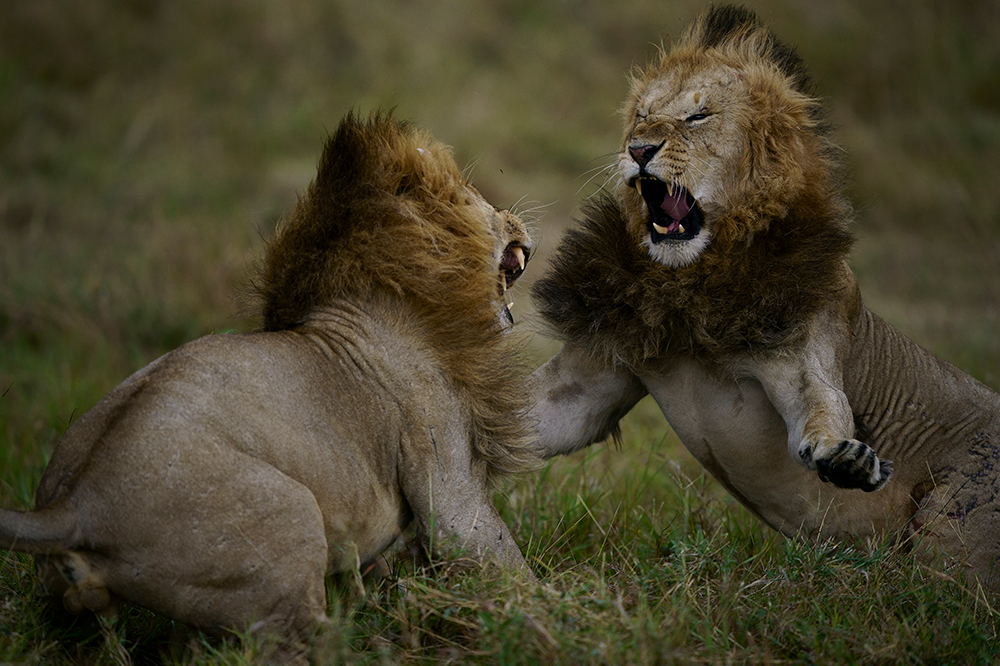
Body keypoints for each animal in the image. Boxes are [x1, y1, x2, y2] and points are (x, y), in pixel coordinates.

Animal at [0, 111, 540, 656]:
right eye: (477, 194)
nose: (515, 217)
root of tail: (74, 505)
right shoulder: (447, 479)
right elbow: (492, 551)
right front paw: (549, 615)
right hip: (290, 516)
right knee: (300, 639)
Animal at [532, 6, 1000, 592]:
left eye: (698, 117)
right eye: (641, 115)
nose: (639, 150)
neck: (690, 286)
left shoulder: (807, 345)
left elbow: (822, 408)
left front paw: (843, 458)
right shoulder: (602, 371)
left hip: (958, 515)